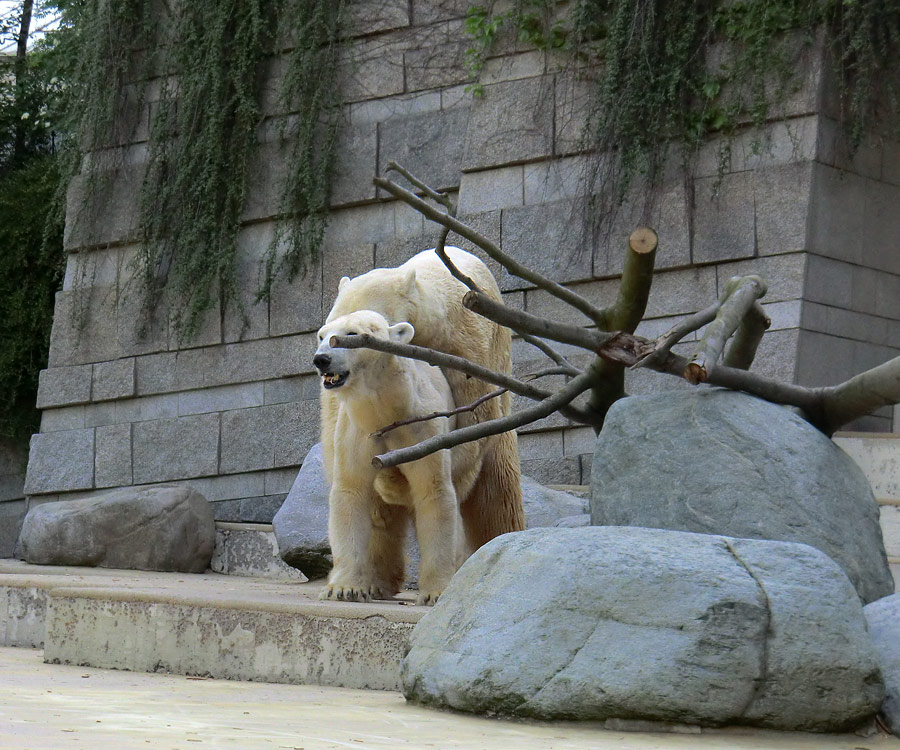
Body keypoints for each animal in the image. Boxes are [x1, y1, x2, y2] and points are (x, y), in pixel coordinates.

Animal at [312, 308, 474, 608]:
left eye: (350, 334)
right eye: (322, 336)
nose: (321, 359)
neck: (386, 411)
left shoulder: (422, 429)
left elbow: (433, 491)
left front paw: (436, 592)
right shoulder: (358, 432)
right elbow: (351, 491)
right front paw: (344, 588)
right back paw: (375, 583)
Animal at [322, 247, 528, 552]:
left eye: (357, 331)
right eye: (325, 330)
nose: (324, 358)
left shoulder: (461, 350)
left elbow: (471, 426)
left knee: (497, 495)